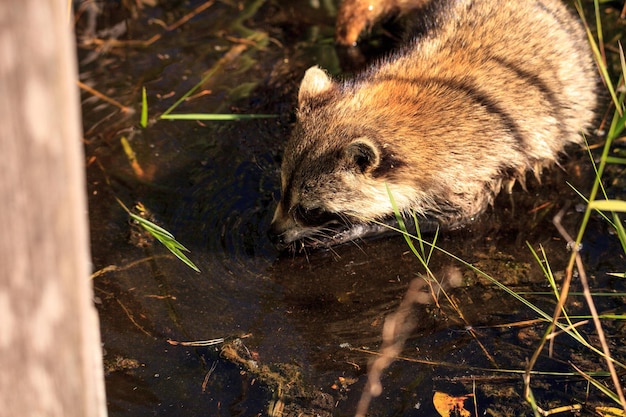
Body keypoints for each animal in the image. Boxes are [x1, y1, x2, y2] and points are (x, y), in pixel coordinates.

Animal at [266, 0, 596, 250]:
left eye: (309, 211)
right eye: (282, 188)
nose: (273, 234)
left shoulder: (464, 172)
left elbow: (460, 215)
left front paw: (362, 227)